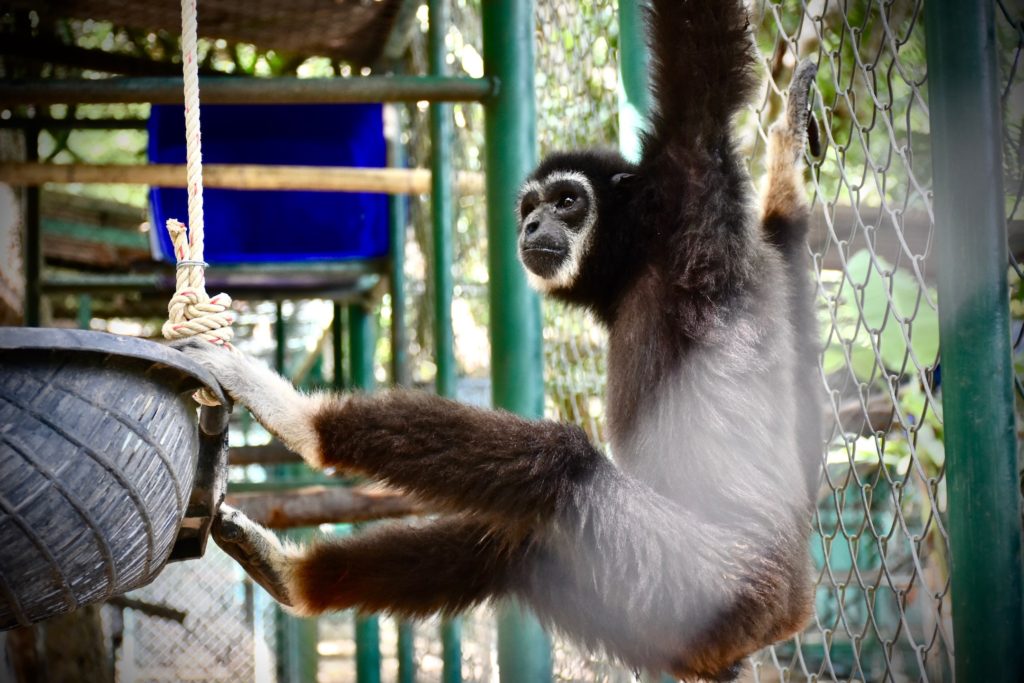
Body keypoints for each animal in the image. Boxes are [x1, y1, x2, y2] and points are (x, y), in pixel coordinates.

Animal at [175, 2, 822, 679]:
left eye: (567, 200)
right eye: (532, 206)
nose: (534, 224)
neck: (638, 260)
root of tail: (791, 602)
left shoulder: (690, 185)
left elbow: (703, 73)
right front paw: (788, 164)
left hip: (710, 583)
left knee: (560, 462)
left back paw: (298, 420)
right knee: (522, 542)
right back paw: (292, 576)